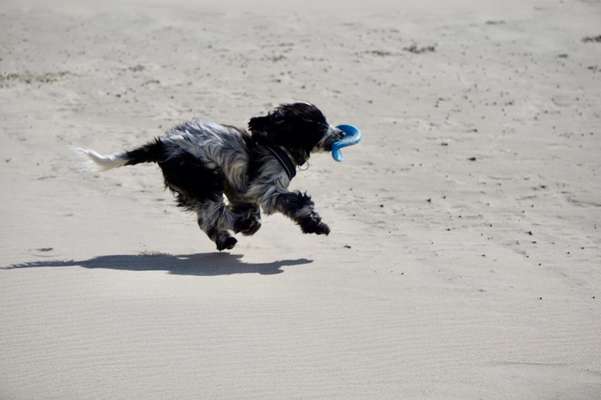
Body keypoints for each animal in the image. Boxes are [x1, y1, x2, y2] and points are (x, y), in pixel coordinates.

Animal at [80, 101, 344, 248]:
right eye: (318, 125)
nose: (341, 133)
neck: (276, 143)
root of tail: (163, 145)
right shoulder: (268, 189)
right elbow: (298, 203)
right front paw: (317, 225)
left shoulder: (242, 193)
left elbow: (253, 212)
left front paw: (249, 223)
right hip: (203, 178)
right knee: (213, 215)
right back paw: (233, 230)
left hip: (196, 187)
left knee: (208, 217)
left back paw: (226, 238)